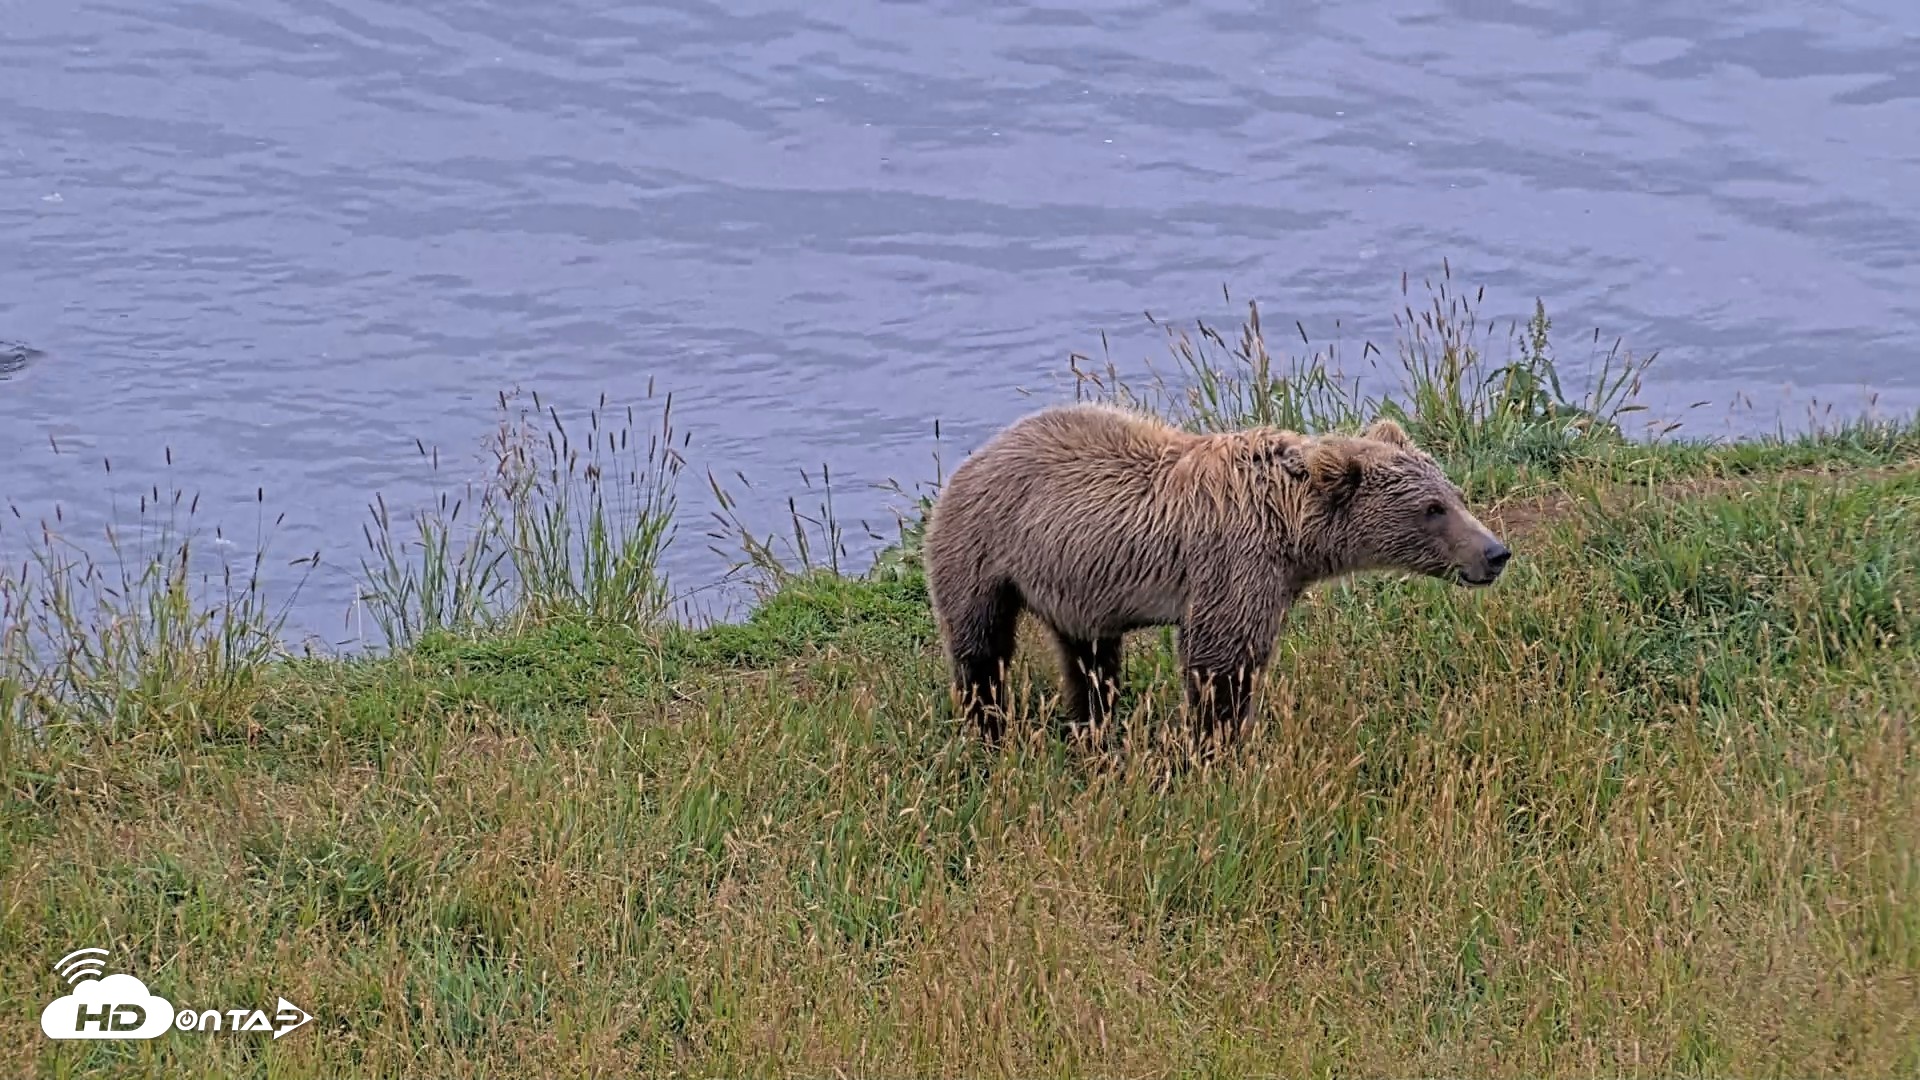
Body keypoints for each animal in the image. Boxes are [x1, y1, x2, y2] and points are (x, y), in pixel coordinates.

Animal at [921, 400, 1511, 748]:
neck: (1290, 526)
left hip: (1076, 582)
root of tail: (974, 457)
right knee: (982, 647)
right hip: (984, 550)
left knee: (1090, 659)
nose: (1495, 552)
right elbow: (1220, 663)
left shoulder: (1272, 576)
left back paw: (1095, 726)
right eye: (1433, 509)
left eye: (1455, 495)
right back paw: (990, 728)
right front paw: (1219, 747)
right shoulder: (1235, 563)